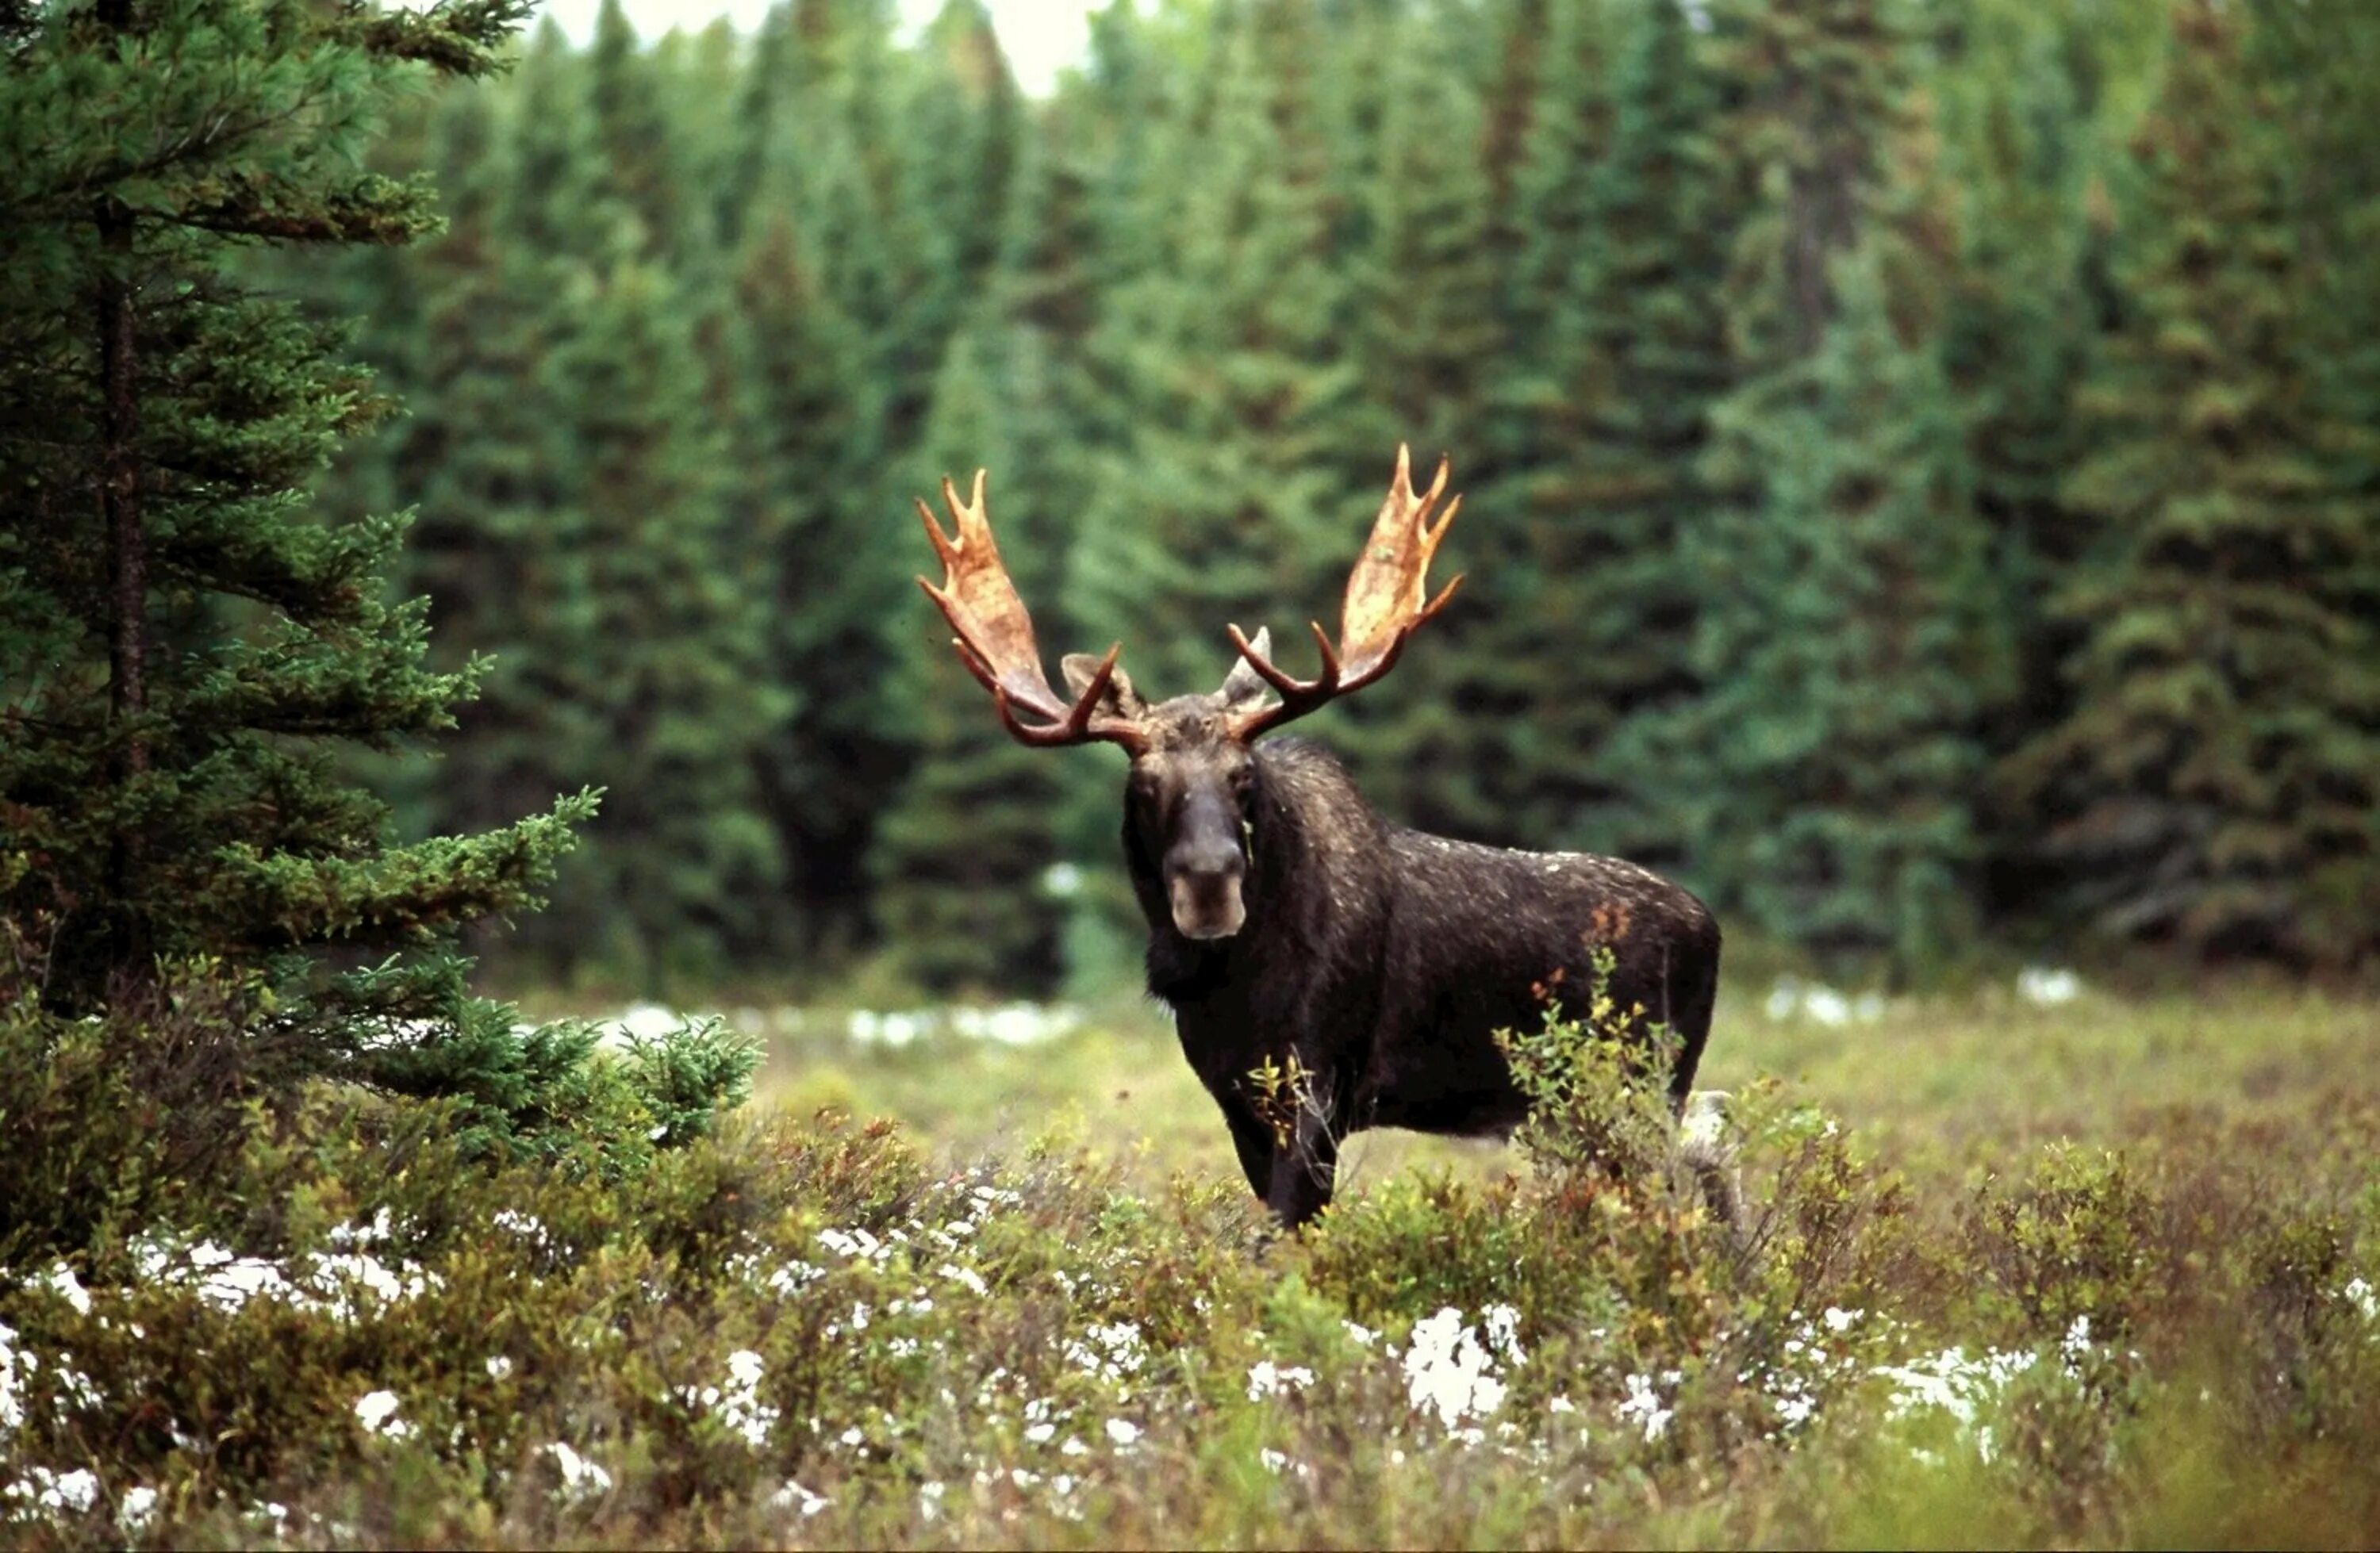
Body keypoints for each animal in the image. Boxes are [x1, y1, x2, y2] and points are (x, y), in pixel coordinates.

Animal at [919, 444, 1723, 1227]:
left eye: (1243, 774)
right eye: (1144, 784)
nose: (1210, 886)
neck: (1229, 980)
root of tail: (1710, 925)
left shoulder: (1322, 1080)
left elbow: (1285, 1231)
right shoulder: (1236, 1097)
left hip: (1643, 1087)